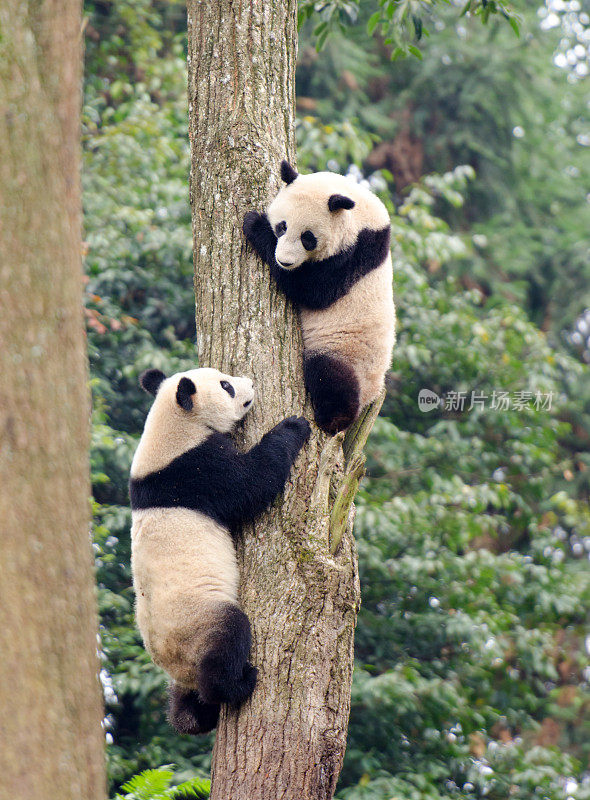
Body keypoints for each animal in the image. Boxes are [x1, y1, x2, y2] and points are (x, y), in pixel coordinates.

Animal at [130, 366, 312, 736]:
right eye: (226, 385)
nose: (251, 383)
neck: (173, 423)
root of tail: (177, 666)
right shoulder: (196, 471)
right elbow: (252, 483)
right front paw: (293, 426)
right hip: (198, 621)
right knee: (228, 639)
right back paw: (237, 685)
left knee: (184, 710)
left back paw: (194, 714)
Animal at [243, 160, 400, 434]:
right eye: (282, 226)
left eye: (308, 238)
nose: (284, 261)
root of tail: (371, 395)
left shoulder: (355, 253)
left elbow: (314, 290)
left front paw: (254, 224)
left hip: (348, 353)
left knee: (329, 375)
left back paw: (333, 418)